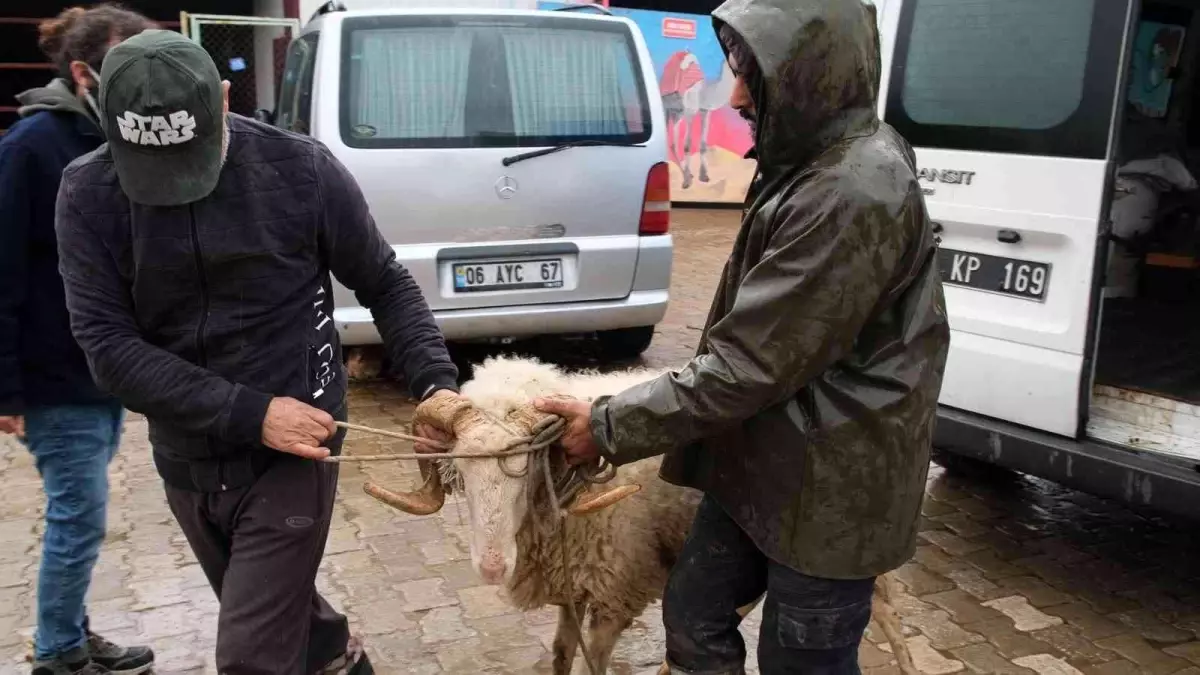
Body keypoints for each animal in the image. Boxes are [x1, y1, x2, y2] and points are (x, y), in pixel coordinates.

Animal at [360, 355, 912, 667]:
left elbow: (595, 661)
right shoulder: (573, 581)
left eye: (529, 467)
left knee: (892, 626)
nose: (493, 566)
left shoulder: (616, 590)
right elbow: (562, 654)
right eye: (460, 470)